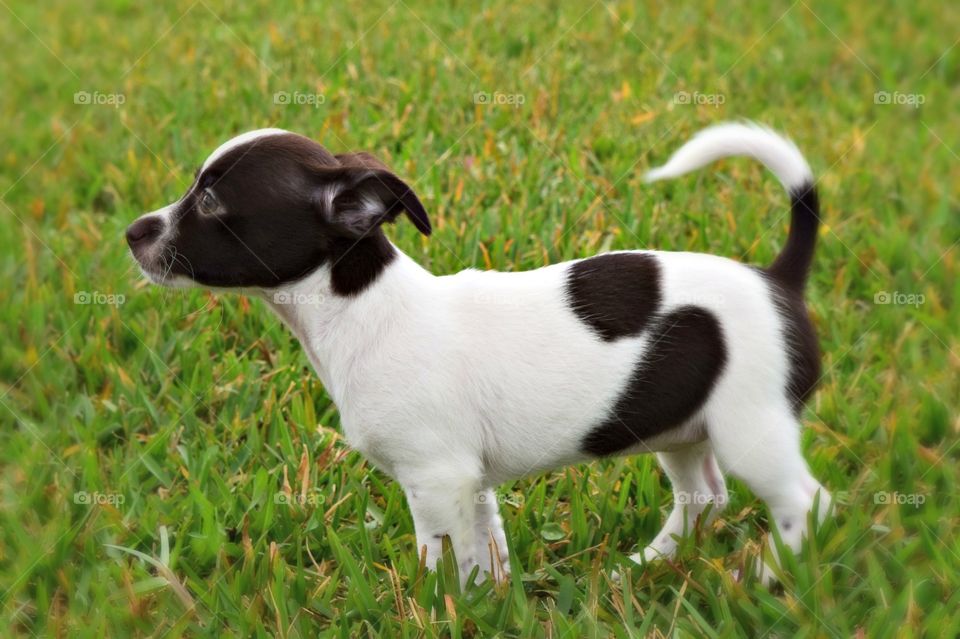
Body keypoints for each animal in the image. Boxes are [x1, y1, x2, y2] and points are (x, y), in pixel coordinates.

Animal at [125, 124, 832, 584]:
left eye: (210, 202)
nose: (132, 232)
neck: (366, 310)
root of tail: (778, 280)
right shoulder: (470, 483)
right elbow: (484, 555)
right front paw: (490, 604)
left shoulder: (436, 481)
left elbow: (442, 563)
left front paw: (435, 609)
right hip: (681, 428)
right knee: (704, 498)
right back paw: (645, 567)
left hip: (751, 428)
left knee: (806, 503)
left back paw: (766, 579)